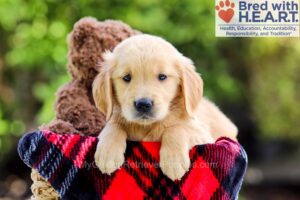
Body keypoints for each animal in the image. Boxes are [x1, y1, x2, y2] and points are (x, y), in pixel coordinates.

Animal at [92, 33, 238, 180]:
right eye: (126, 77)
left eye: (162, 76)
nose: (143, 104)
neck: (147, 127)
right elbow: (114, 125)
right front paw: (107, 153)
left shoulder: (202, 135)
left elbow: (177, 128)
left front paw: (173, 161)